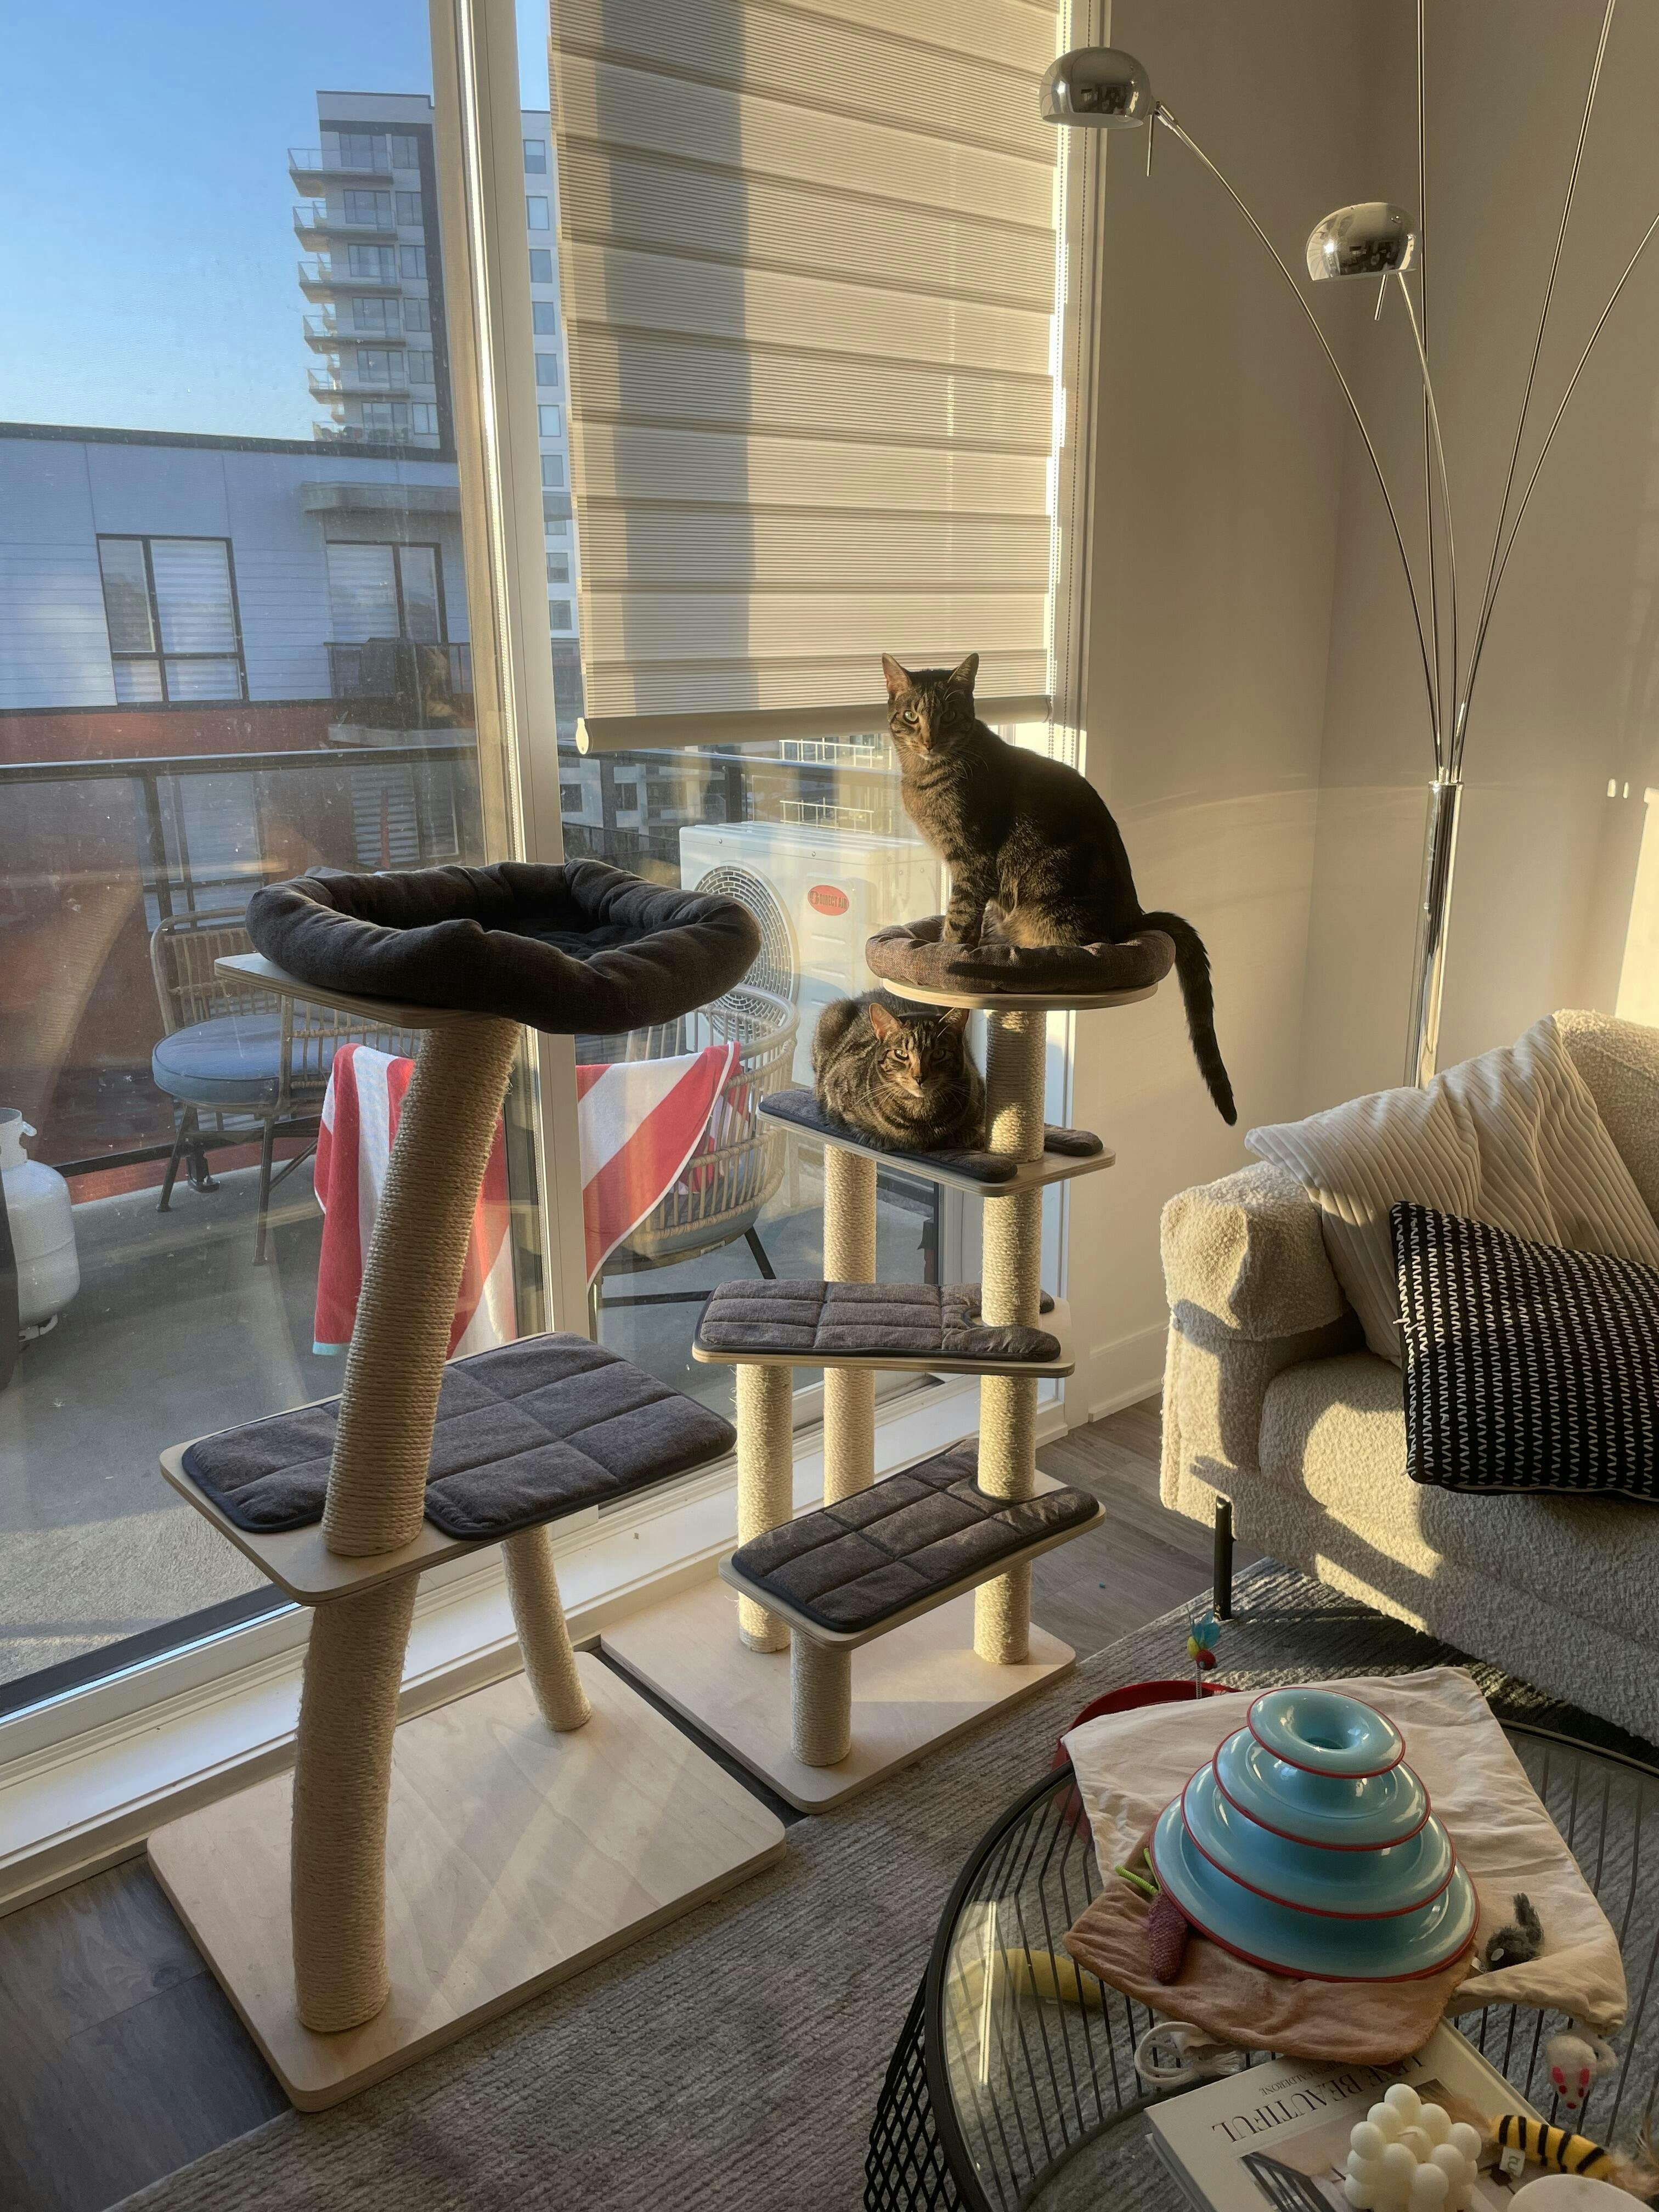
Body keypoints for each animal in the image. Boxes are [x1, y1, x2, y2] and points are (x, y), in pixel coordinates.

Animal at [881, 651, 1237, 1125]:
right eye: (911, 715)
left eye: (950, 715)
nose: (929, 739)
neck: (927, 776)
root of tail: (1137, 915)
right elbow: (963, 924)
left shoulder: (972, 863)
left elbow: (958, 921)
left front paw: (947, 958)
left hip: (1053, 901)